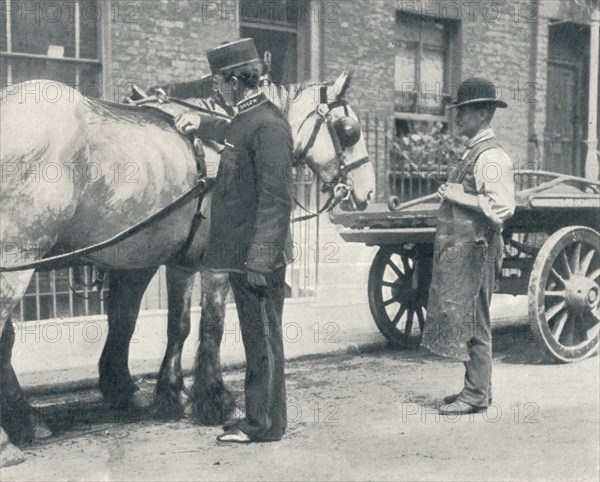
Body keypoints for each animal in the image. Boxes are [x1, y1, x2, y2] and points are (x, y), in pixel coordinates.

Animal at [0, 73, 372, 466]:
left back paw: (24, 419)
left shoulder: (172, 260)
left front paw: (167, 393)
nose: (366, 192)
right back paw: (11, 436)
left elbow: (171, 325)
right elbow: (212, 324)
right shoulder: (212, 261)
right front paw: (214, 398)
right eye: (348, 130)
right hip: (17, 257)